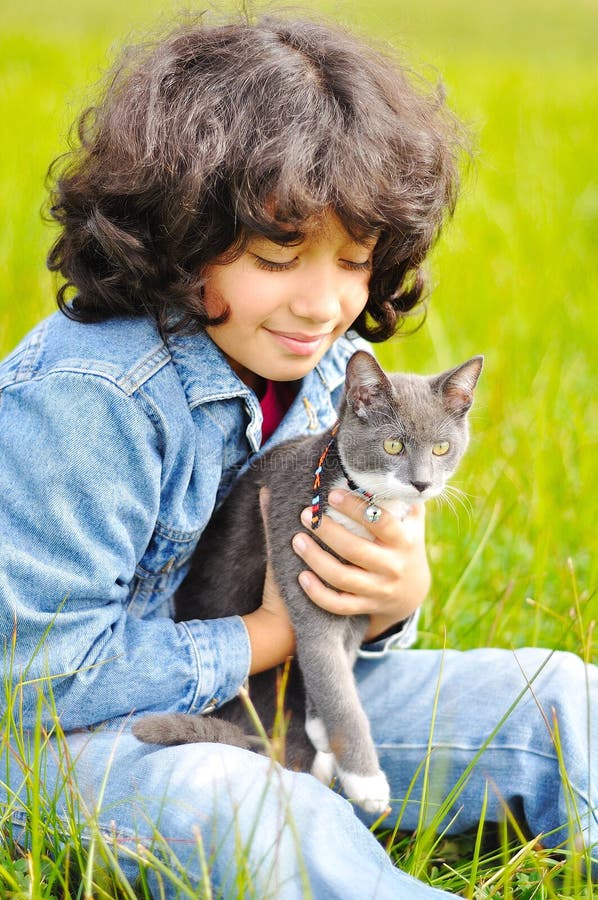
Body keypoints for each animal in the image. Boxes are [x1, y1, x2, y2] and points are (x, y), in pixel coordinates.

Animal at [134, 352, 486, 816]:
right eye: (393, 445)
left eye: (441, 448)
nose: (422, 483)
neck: (359, 501)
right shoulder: (295, 541)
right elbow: (336, 680)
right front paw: (366, 782)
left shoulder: (362, 598)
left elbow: (344, 659)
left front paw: (319, 728)